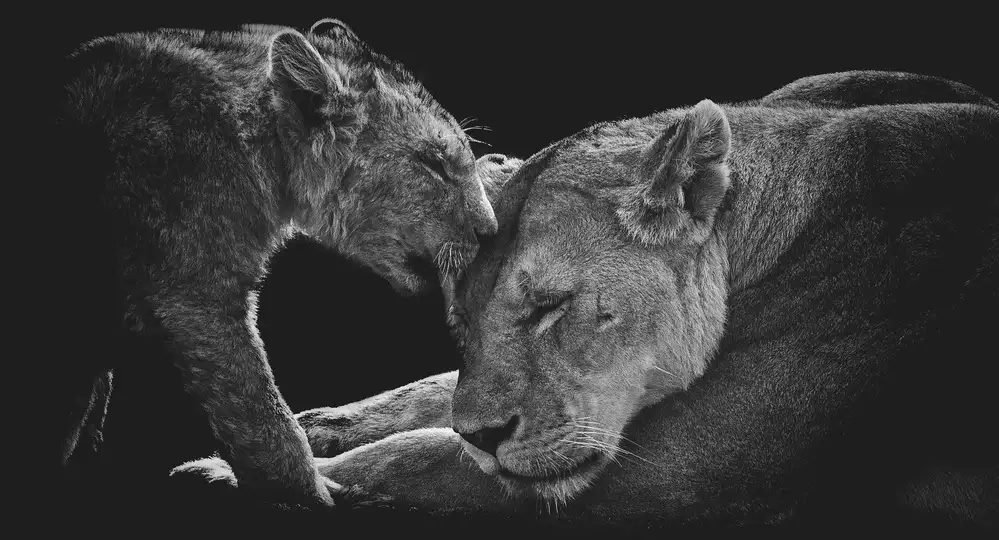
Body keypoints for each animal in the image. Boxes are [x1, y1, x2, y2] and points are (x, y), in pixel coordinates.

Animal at [174, 71, 998, 530]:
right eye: (461, 323)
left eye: (551, 307)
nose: (484, 436)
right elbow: (428, 397)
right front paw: (309, 429)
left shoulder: (691, 471)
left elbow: (419, 459)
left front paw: (251, 478)